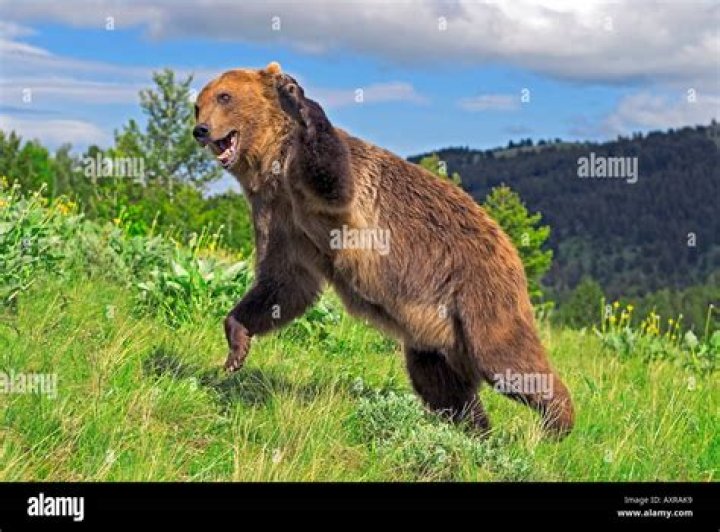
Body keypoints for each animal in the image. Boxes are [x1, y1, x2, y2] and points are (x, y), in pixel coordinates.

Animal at [193, 62, 575, 438]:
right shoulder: (279, 217)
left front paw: (296, 97)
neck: (272, 165)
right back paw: (475, 429)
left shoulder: (328, 193)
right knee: (439, 382)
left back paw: (557, 423)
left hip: (478, 289)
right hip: (435, 332)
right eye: (199, 103)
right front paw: (237, 343)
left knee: (503, 357)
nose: (200, 129)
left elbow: (332, 177)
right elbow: (284, 283)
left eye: (224, 96)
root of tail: (509, 244)